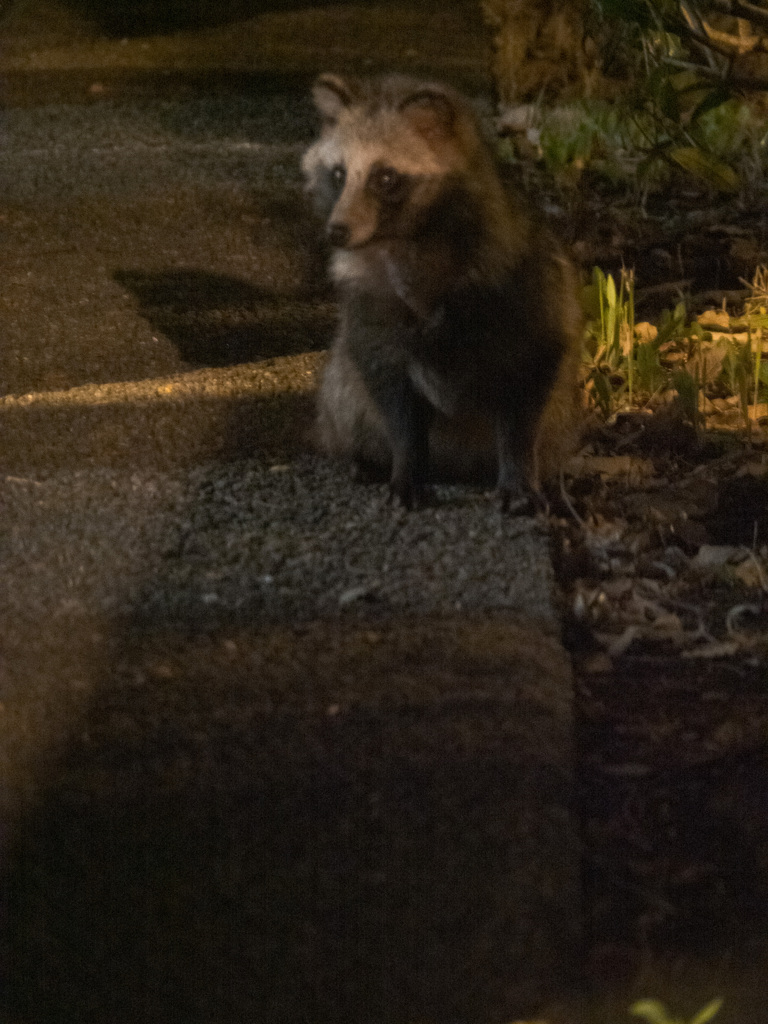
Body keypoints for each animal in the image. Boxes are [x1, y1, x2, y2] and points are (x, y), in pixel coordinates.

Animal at [303, 70, 581, 509]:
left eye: (385, 177)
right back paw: (364, 456)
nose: (337, 231)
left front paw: (519, 473)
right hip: (340, 384)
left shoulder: (524, 290)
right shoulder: (370, 310)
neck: (405, 242)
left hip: (563, 410)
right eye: (338, 174)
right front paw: (407, 468)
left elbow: (526, 395)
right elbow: (394, 399)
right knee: (345, 394)